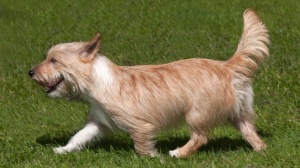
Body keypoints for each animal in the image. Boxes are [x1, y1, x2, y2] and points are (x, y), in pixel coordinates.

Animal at [29, 9, 270, 158]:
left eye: (54, 61)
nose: (31, 72)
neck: (98, 82)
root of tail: (227, 66)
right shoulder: (98, 123)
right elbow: (79, 137)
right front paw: (62, 150)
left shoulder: (141, 126)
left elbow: (141, 147)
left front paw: (154, 157)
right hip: (238, 114)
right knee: (250, 131)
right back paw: (260, 150)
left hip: (196, 114)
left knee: (200, 137)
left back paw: (178, 153)